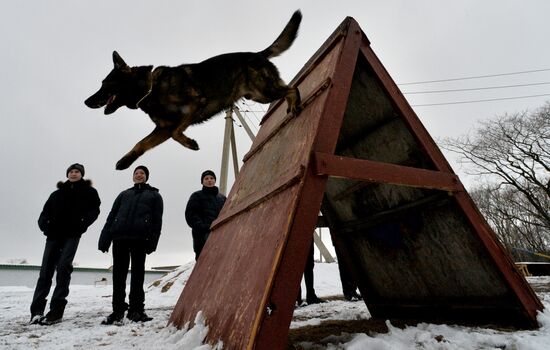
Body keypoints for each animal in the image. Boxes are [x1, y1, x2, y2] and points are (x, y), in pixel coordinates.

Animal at [85, 10, 306, 170]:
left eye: (105, 84)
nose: (86, 102)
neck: (151, 89)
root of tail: (258, 54)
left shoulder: (193, 106)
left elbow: (176, 133)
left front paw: (190, 143)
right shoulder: (162, 129)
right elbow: (142, 143)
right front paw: (125, 160)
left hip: (264, 92)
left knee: (292, 88)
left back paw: (295, 104)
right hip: (259, 94)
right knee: (287, 88)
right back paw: (290, 106)